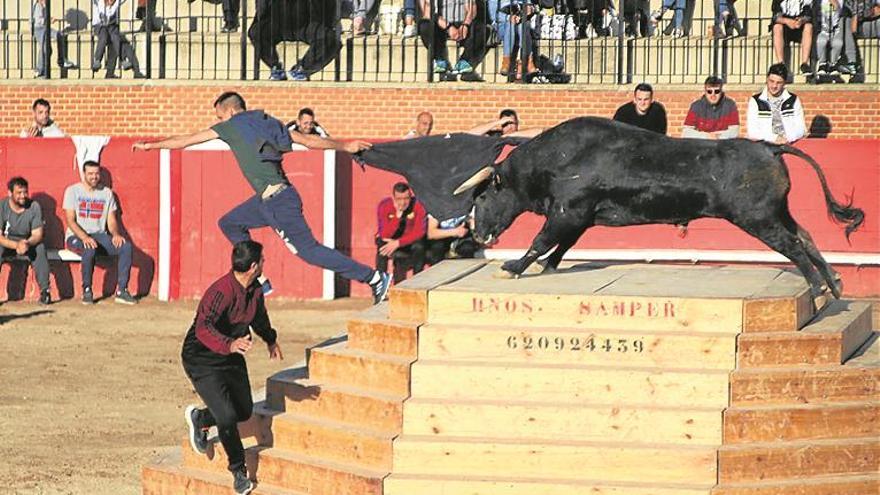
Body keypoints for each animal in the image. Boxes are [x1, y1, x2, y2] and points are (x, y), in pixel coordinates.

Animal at [356, 118, 860, 298]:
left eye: (483, 196)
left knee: (793, 244)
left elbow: (540, 240)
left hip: (758, 218)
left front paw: (513, 268)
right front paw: (546, 268)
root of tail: (769, 147)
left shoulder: (567, 211)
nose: (476, 236)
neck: (553, 159)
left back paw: (818, 286)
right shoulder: (578, 216)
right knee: (807, 236)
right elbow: (559, 246)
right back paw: (834, 284)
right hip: (775, 212)